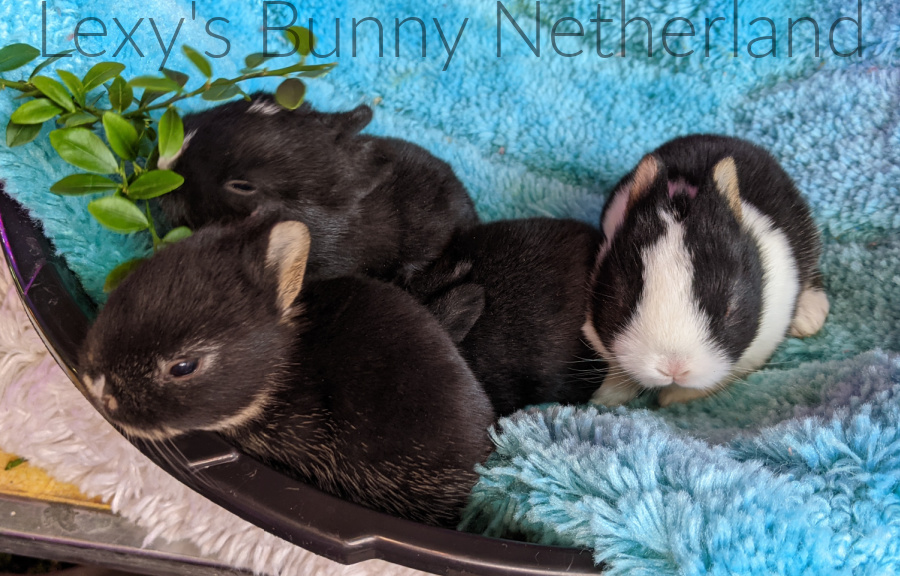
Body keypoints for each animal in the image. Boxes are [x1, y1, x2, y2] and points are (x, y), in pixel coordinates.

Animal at [583, 134, 829, 408]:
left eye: (729, 309)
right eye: (620, 301)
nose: (674, 368)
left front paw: (672, 398)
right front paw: (605, 398)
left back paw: (809, 317)